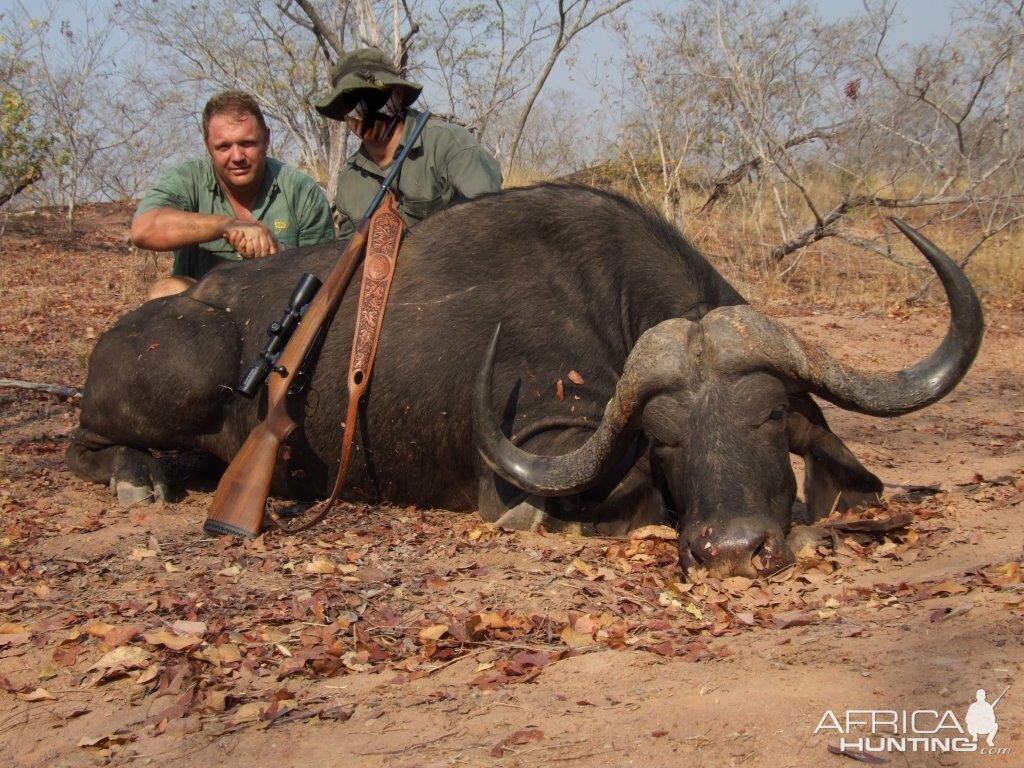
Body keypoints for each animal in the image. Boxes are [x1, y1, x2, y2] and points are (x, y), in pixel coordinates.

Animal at [66, 185, 983, 577]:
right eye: (665, 440)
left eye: (767, 418)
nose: (731, 552)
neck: (604, 295)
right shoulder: (544, 442)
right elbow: (623, 495)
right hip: (175, 384)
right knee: (81, 444)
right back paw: (139, 478)